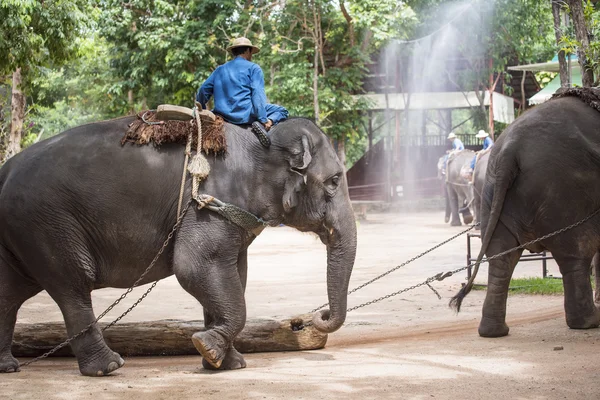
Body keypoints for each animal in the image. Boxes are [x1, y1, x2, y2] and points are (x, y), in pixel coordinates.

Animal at [0, 115, 356, 376]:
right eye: (334, 181)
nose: (318, 315)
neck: (261, 144)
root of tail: (5, 170)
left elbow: (233, 274)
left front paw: (223, 363)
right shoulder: (206, 202)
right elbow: (195, 267)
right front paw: (207, 347)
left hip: (23, 232)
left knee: (10, 293)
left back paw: (8, 367)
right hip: (46, 224)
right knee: (73, 285)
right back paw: (108, 367)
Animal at [452, 95, 600, 340]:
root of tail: (510, 149)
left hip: (492, 189)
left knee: (500, 255)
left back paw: (493, 332)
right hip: (565, 191)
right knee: (576, 253)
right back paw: (589, 322)